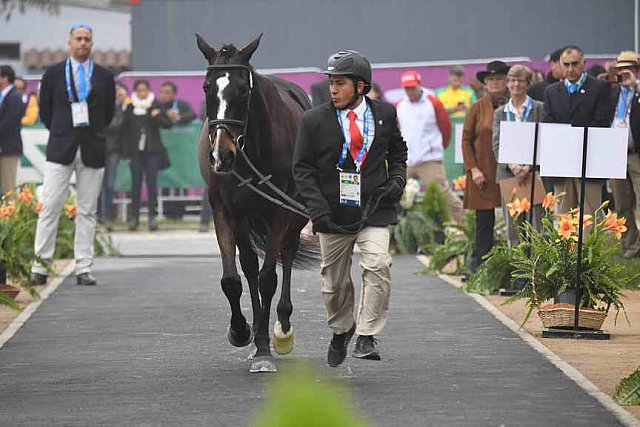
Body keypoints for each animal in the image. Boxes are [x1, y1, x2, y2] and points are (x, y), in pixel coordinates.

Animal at [195, 33, 316, 372]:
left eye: (242, 89)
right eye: (207, 87)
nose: (221, 155)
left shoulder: (277, 211)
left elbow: (268, 277)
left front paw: (264, 347)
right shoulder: (225, 210)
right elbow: (232, 279)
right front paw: (241, 331)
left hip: (294, 213)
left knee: (287, 253)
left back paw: (282, 329)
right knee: (248, 265)